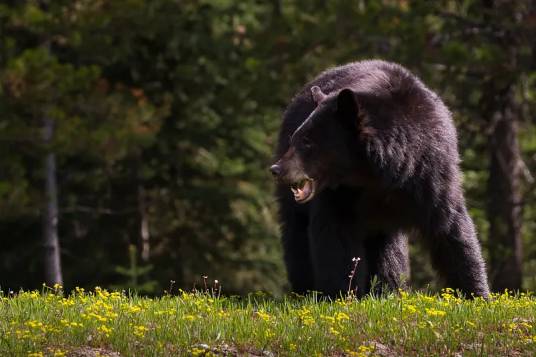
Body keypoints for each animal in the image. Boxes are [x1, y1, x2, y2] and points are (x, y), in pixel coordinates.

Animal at [272, 59, 490, 298]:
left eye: (308, 141)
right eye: (296, 138)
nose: (277, 169)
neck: (375, 174)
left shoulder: (431, 171)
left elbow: (451, 229)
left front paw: (477, 294)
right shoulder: (340, 194)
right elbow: (335, 236)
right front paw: (342, 294)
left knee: (389, 252)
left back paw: (388, 289)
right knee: (297, 234)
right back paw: (305, 290)